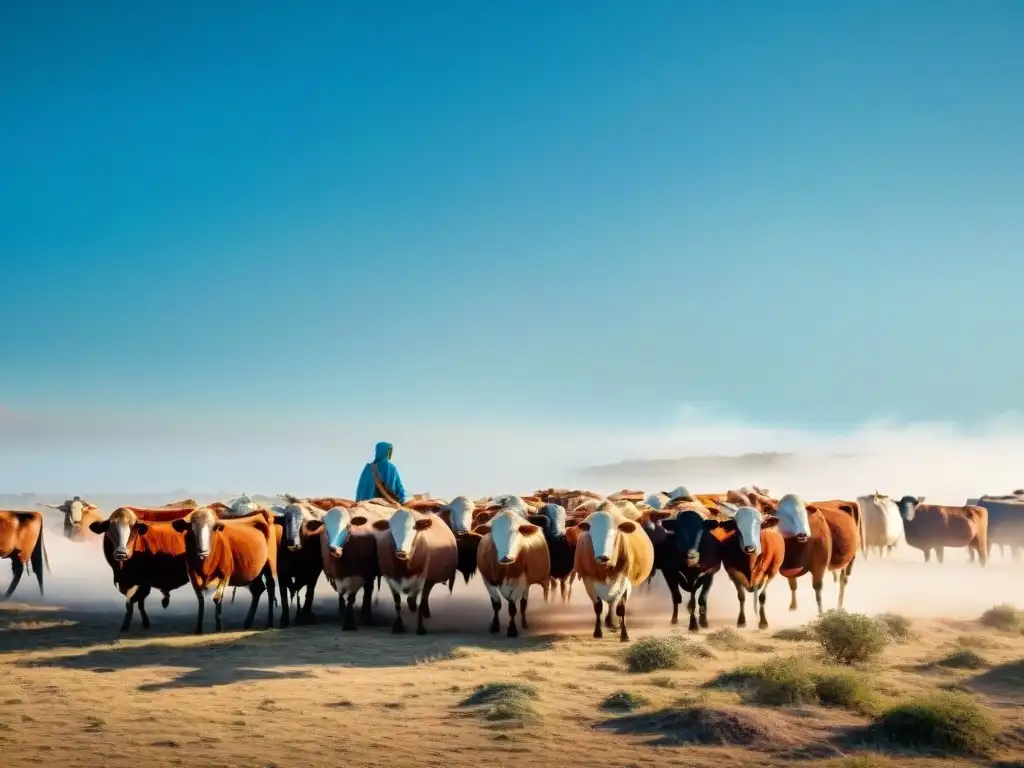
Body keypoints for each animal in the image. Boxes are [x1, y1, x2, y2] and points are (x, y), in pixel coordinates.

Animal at [473, 505, 552, 638]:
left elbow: (512, 607)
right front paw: (494, 626)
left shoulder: (520, 582)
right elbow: (496, 605)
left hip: (541, 580)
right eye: (493, 533)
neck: (505, 569)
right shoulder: (487, 581)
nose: (506, 558)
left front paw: (512, 629)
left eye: (517, 532)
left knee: (532, 600)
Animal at [573, 499, 651, 643]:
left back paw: (615, 623)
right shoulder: (588, 580)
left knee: (614, 603)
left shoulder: (625, 580)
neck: (605, 569)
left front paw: (624, 634)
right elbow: (598, 607)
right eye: (592, 532)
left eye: (614, 533)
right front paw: (597, 632)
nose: (603, 557)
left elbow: (621, 608)